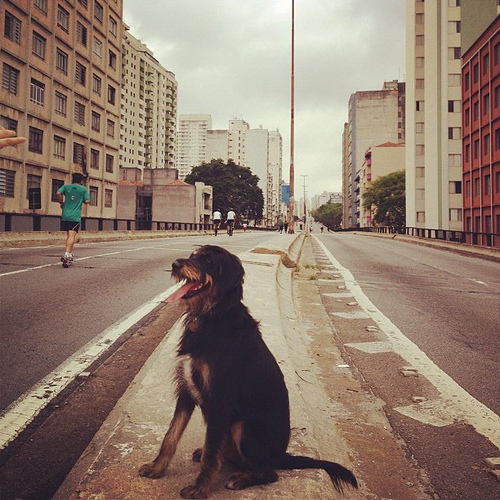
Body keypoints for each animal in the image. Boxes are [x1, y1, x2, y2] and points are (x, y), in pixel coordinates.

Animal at [139, 245, 358, 499]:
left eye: (207, 259)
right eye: (194, 256)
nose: (175, 264)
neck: (213, 315)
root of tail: (281, 456)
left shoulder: (220, 400)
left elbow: (210, 455)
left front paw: (200, 489)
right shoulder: (186, 391)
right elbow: (171, 435)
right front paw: (156, 469)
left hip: (242, 426)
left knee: (268, 472)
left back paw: (242, 479)